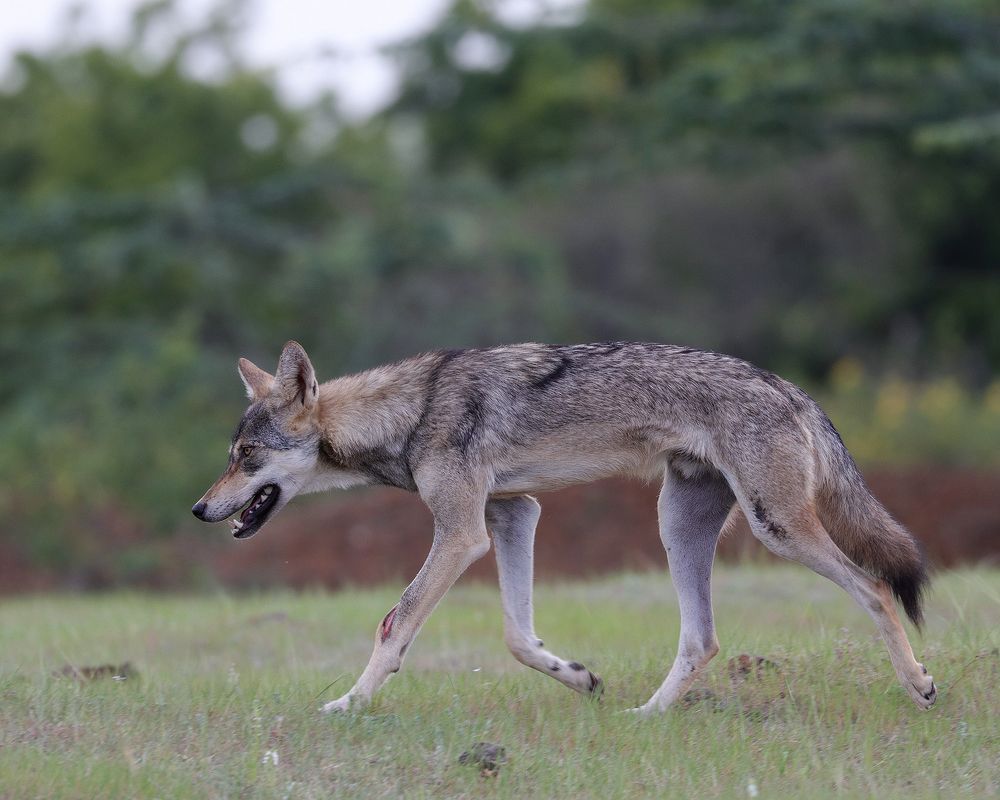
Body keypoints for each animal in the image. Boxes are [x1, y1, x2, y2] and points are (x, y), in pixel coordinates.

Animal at [192, 341, 936, 714]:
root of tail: (790, 387)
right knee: (702, 640)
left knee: (876, 589)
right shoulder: (513, 514)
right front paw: (580, 679)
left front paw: (348, 704)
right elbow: (519, 638)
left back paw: (922, 685)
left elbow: (393, 625)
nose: (199, 509)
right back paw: (643, 718)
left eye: (246, 456)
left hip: (774, 527)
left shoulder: (462, 534)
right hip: (677, 528)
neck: (409, 412)